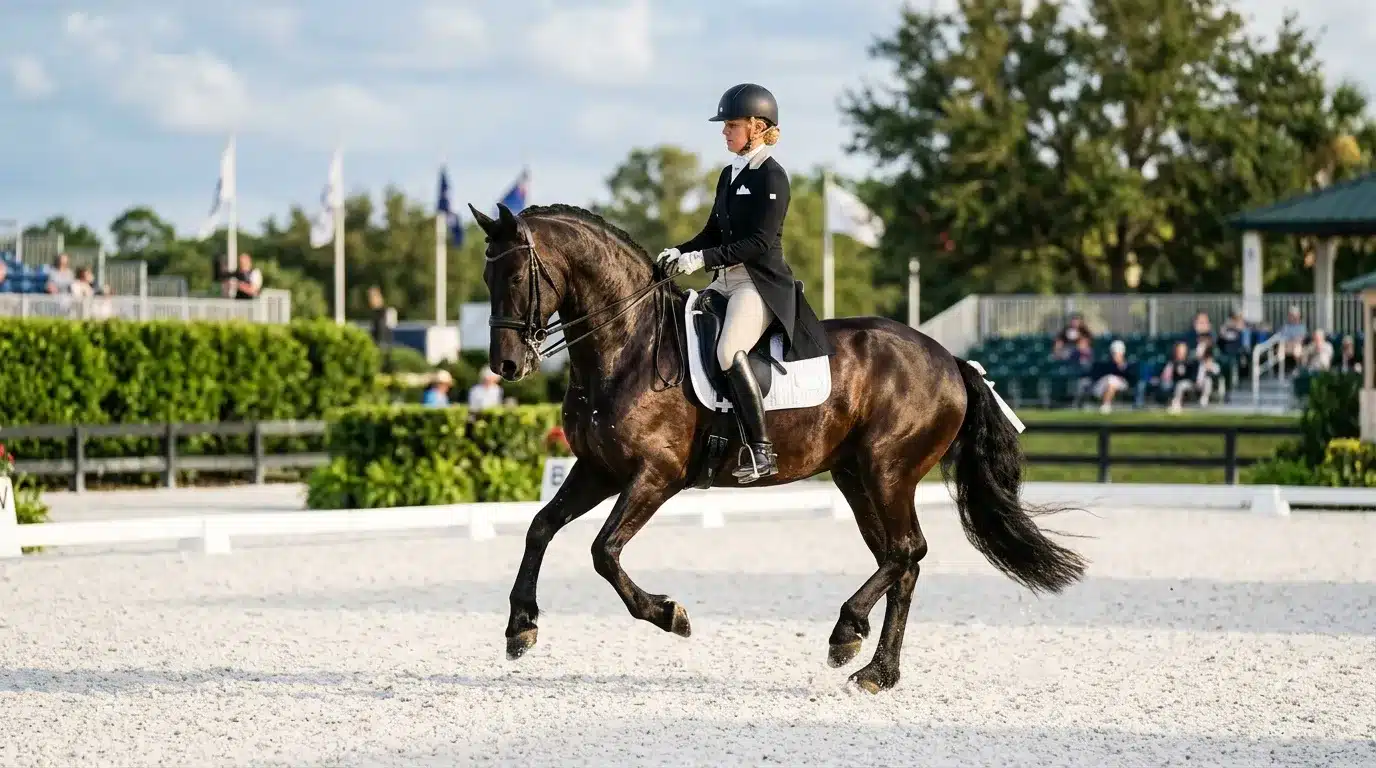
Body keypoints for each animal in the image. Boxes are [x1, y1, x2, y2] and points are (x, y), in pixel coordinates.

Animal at [467, 201, 1087, 693]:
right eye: (486, 277)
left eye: (518, 276)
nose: (506, 366)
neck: (629, 346)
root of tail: (950, 361)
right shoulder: (597, 468)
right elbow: (540, 527)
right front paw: (521, 627)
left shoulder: (656, 475)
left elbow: (603, 551)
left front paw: (670, 615)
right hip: (857, 477)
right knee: (900, 559)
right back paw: (875, 668)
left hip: (888, 470)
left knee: (908, 550)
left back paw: (847, 635)